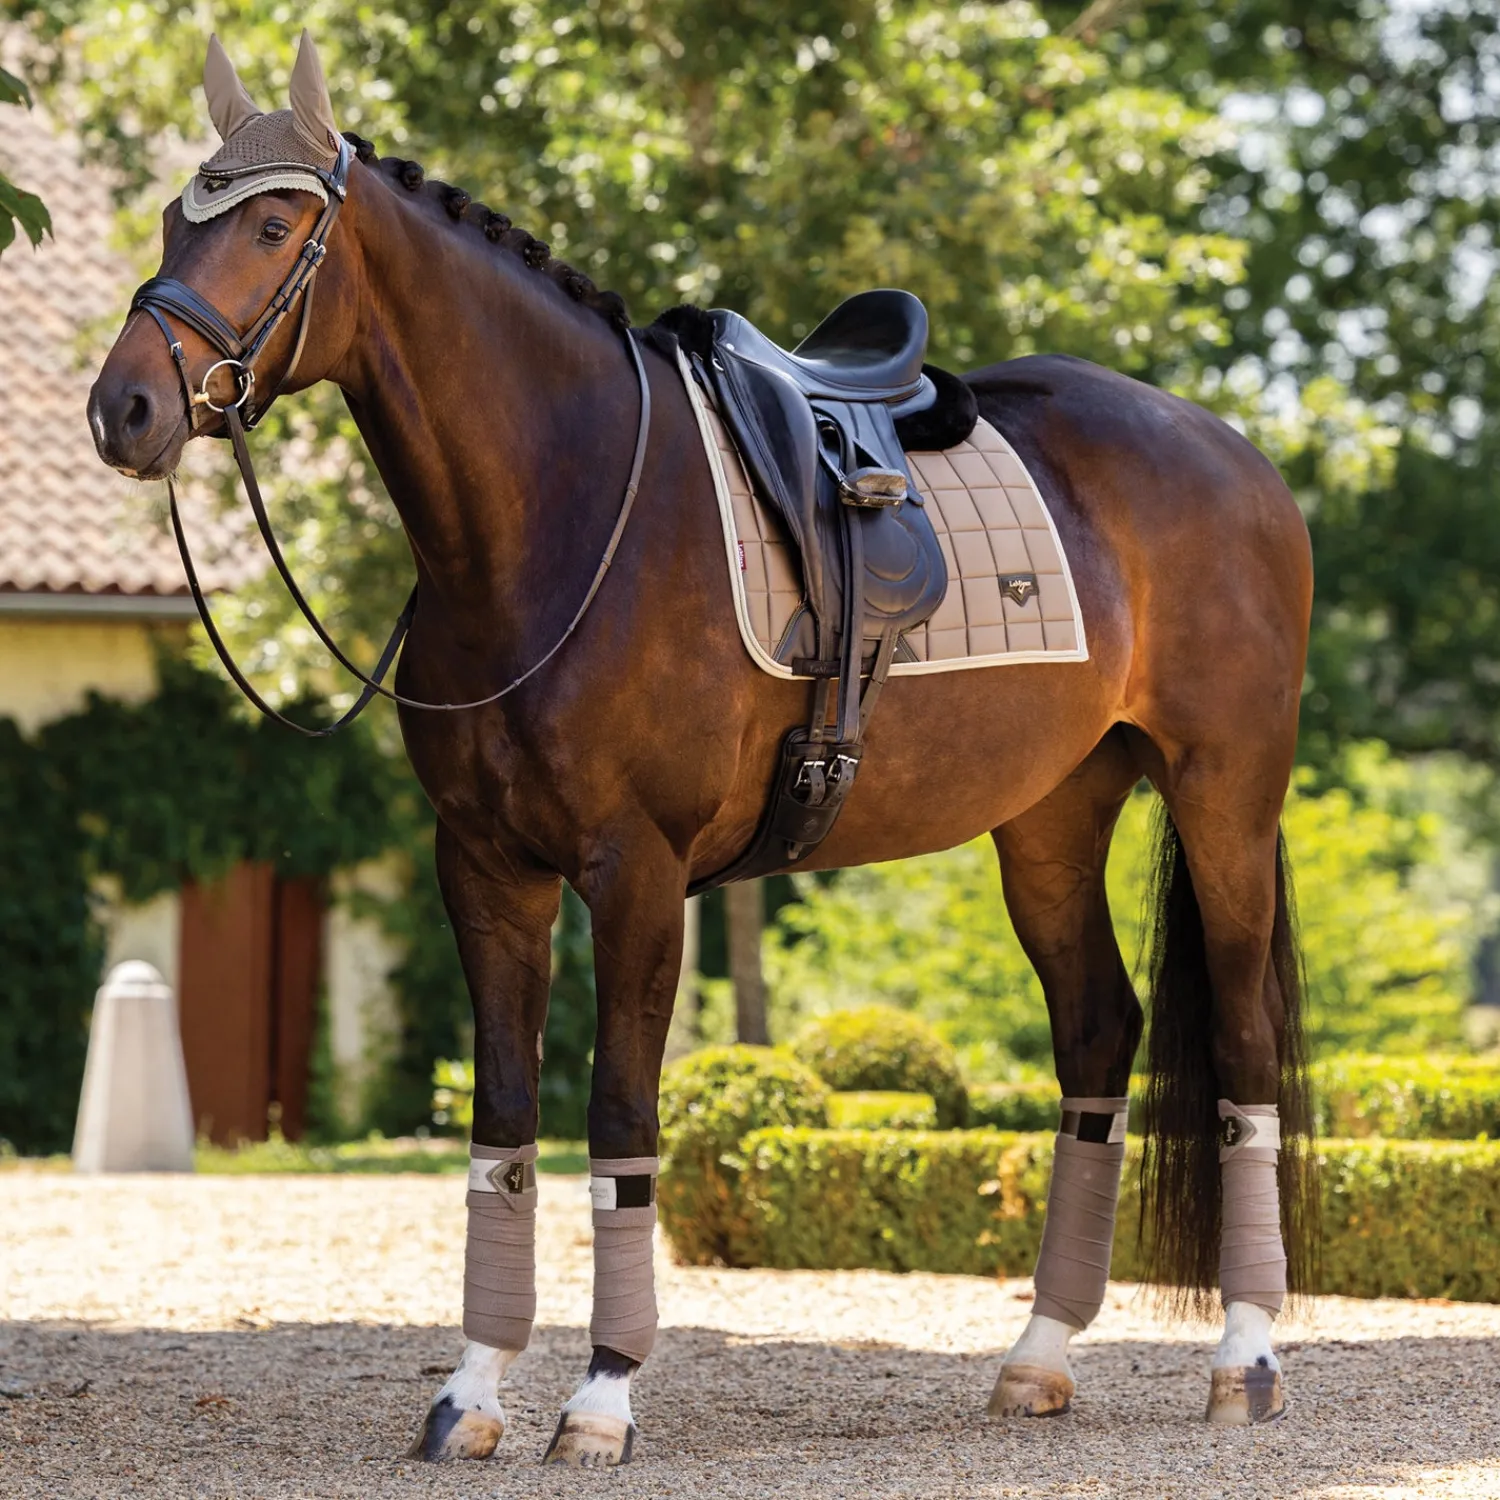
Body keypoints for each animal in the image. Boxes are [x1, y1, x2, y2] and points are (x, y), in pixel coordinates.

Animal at [88, 31, 1315, 1467]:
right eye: (173, 219)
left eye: (274, 224)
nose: (124, 409)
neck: (556, 512)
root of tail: (1232, 452)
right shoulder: (485, 871)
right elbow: (504, 1125)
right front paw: (473, 1392)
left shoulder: (638, 872)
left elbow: (621, 1119)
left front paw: (603, 1397)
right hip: (1053, 819)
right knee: (1099, 1035)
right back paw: (1039, 1357)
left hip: (1225, 794)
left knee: (1241, 1044)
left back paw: (1245, 1358)